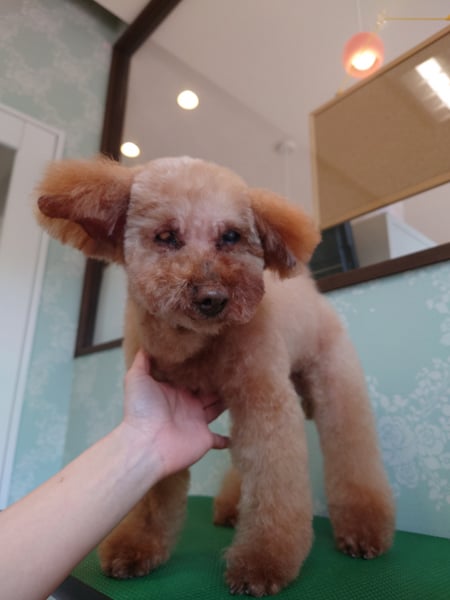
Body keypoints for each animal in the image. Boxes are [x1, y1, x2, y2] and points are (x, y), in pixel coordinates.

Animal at [36, 156, 395, 596]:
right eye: (166, 236)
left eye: (231, 236)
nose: (213, 297)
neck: (191, 344)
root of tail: (313, 294)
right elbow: (156, 491)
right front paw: (137, 546)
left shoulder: (263, 397)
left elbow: (274, 478)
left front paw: (263, 559)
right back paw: (229, 509)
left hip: (335, 380)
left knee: (350, 448)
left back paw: (364, 528)